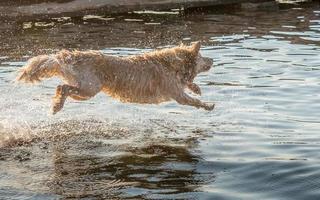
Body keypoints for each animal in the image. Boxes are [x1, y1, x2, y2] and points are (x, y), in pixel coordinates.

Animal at [16, 41, 214, 114]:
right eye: (203, 57)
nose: (213, 59)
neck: (173, 64)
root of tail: (69, 56)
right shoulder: (177, 94)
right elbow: (193, 100)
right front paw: (208, 105)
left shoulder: (179, 86)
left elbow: (189, 84)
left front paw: (196, 88)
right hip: (89, 89)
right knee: (62, 88)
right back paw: (57, 106)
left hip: (84, 92)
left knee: (62, 88)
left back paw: (57, 104)